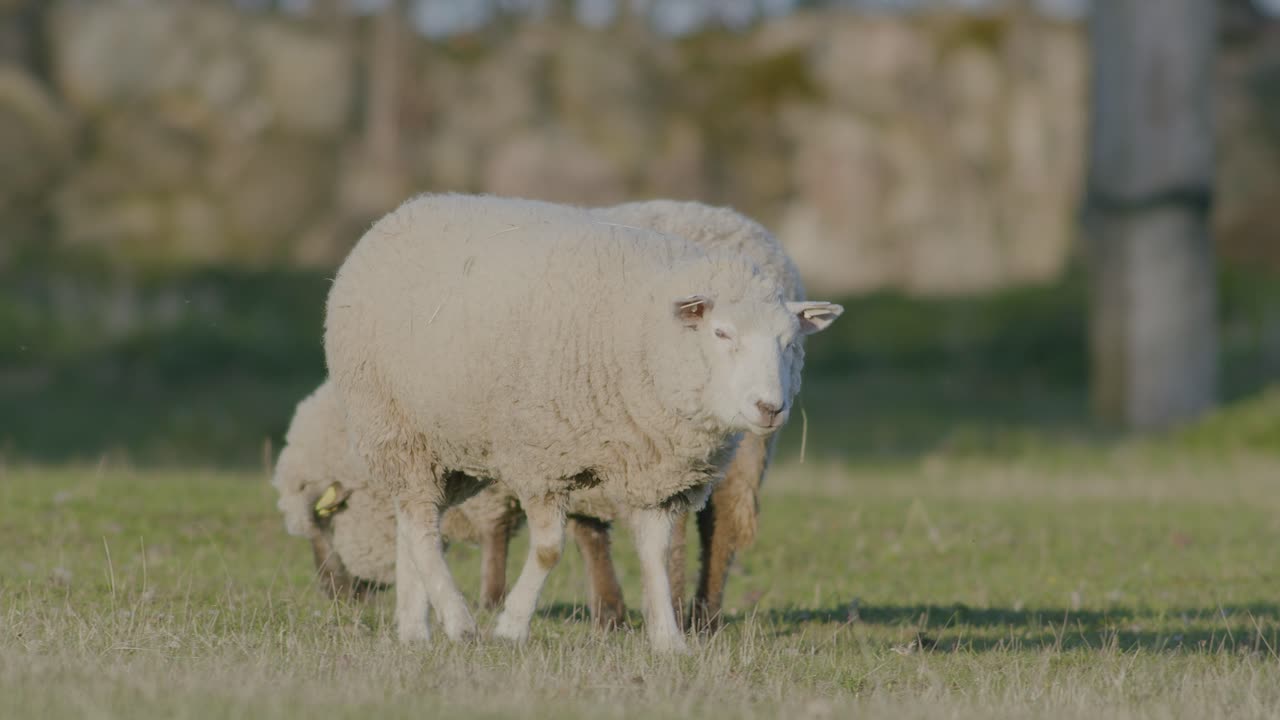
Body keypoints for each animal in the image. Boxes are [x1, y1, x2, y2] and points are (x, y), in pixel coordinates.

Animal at [324, 193, 840, 651]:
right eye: (721, 333)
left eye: (791, 342)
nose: (770, 408)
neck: (647, 332)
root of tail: (399, 213)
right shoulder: (540, 460)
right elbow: (550, 549)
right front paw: (511, 626)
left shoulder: (657, 471)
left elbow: (655, 552)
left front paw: (668, 640)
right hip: (393, 425)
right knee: (423, 529)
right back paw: (458, 621)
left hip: (448, 448)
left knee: (414, 521)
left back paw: (415, 628)